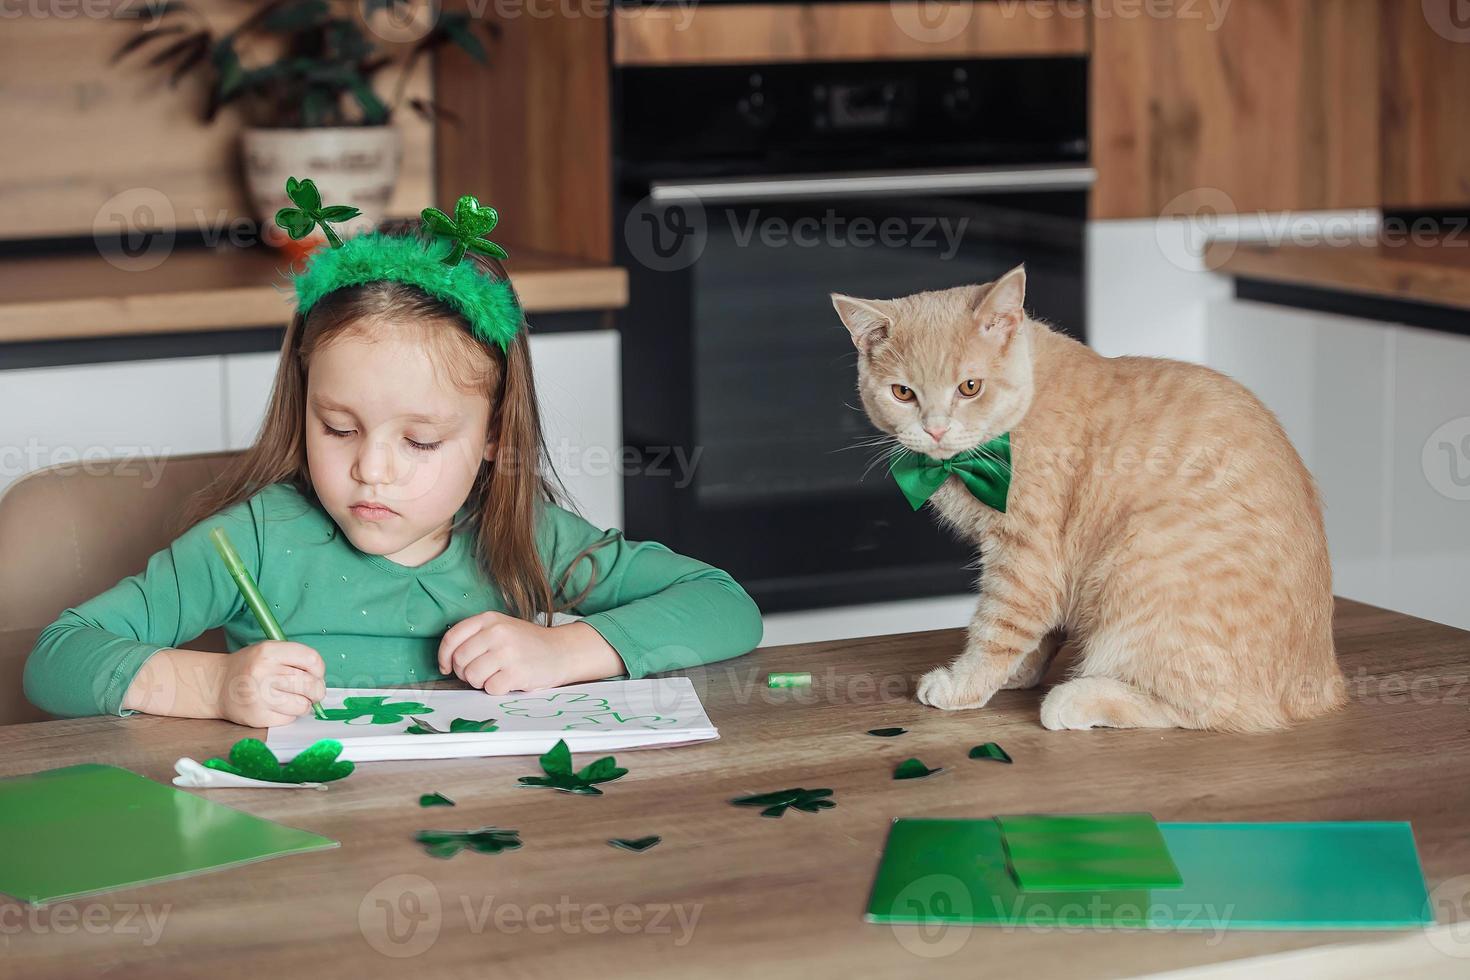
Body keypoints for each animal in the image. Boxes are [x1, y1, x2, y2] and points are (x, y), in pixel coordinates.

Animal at [834, 264, 1346, 731]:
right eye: (903, 393)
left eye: (970, 387)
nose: (935, 429)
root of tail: (1324, 686)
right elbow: (1038, 633)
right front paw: (1019, 674)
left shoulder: (1026, 560)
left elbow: (998, 628)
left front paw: (963, 686)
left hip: (1138, 569)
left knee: (1205, 708)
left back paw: (1077, 699)